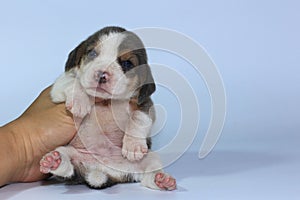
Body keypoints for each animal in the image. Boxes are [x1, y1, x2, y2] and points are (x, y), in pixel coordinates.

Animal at [39, 26, 176, 191]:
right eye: (92, 53)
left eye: (127, 64)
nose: (102, 75)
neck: (105, 100)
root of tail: (103, 170)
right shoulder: (58, 87)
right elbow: (73, 81)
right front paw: (80, 101)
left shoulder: (145, 104)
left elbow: (138, 117)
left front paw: (133, 145)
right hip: (66, 151)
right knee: (67, 169)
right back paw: (54, 162)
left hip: (150, 157)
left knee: (149, 174)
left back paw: (161, 180)